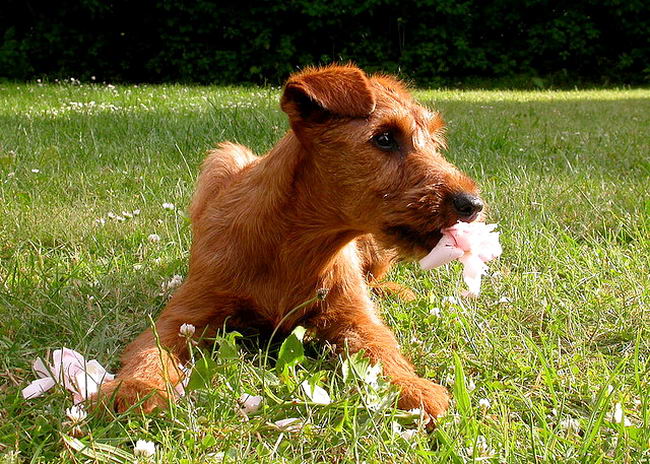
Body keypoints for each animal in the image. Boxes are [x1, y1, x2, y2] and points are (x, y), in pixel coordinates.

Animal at [97, 64, 480, 420]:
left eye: (434, 143)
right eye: (384, 138)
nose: (472, 205)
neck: (295, 246)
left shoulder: (353, 316)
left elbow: (380, 347)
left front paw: (410, 386)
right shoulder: (182, 316)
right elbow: (151, 349)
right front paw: (136, 385)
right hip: (224, 157)